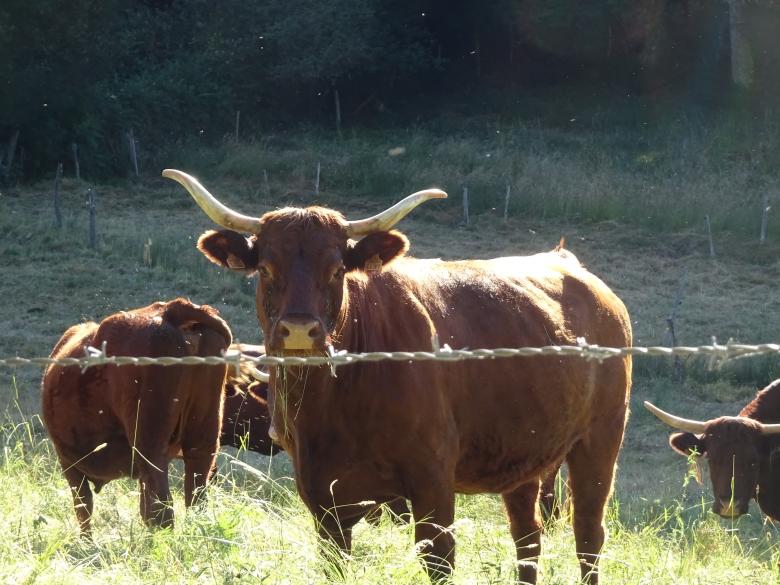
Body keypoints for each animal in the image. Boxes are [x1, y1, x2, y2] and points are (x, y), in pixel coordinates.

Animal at [41, 298, 232, 534]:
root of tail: (171, 309)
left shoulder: (68, 462)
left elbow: (83, 509)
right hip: (202, 440)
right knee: (194, 499)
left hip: (149, 446)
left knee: (162, 509)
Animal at [164, 169, 633, 585]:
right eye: (265, 269)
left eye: (337, 269)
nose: (299, 330)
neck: (330, 409)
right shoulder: (322, 497)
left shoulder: (432, 485)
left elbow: (439, 563)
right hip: (524, 453)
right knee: (528, 536)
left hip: (600, 440)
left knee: (588, 535)